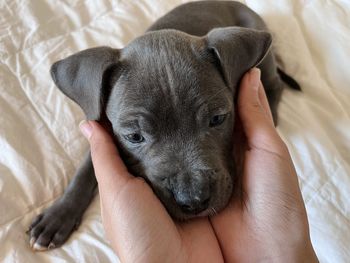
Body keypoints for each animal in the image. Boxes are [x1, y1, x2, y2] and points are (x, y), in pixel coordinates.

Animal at [28, 0, 300, 252]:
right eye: (134, 136)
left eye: (217, 119)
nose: (194, 200)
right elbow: (86, 169)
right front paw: (58, 215)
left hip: (263, 56)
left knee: (275, 83)